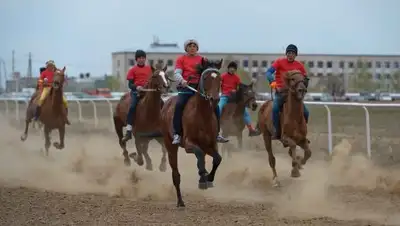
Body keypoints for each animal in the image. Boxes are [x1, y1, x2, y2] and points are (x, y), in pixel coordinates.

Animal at [160, 57, 223, 207]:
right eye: (205, 77)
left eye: (220, 78)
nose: (215, 99)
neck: (202, 115)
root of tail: (166, 104)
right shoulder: (189, 144)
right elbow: (199, 155)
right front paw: (203, 176)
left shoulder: (211, 144)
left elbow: (217, 159)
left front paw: (209, 178)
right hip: (170, 146)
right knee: (176, 175)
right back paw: (180, 202)